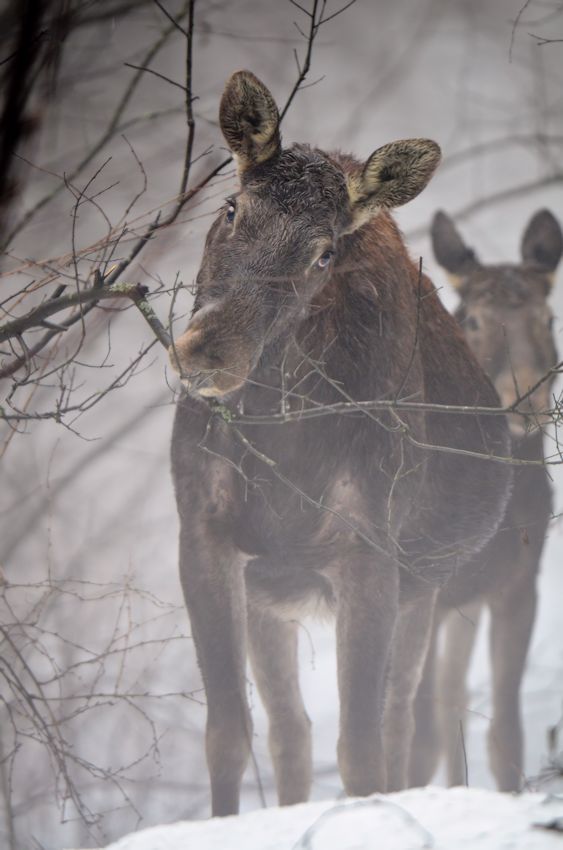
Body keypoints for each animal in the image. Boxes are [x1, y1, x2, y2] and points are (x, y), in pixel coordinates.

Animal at [170, 73, 512, 816]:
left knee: (400, 720)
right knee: (289, 731)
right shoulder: (205, 533)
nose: (208, 353)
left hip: (421, 588)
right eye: (232, 206)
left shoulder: (367, 550)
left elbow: (361, 749)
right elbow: (226, 735)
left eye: (323, 252)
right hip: (272, 594)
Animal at [410, 209, 563, 792]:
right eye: (472, 320)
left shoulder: (515, 584)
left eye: (549, 318)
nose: (527, 399)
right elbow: (416, 738)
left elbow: (506, 736)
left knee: (455, 695)